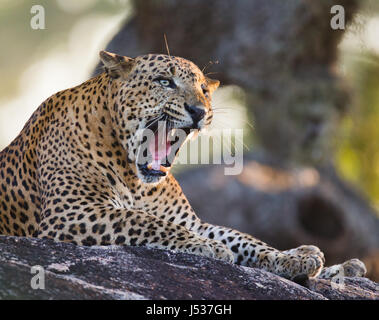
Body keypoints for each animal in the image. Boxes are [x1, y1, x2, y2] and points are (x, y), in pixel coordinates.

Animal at [0, 49, 368, 280]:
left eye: (204, 88)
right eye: (165, 81)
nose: (199, 110)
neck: (134, 178)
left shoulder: (189, 220)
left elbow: (243, 238)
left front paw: (291, 258)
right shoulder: (71, 213)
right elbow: (143, 221)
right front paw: (209, 248)